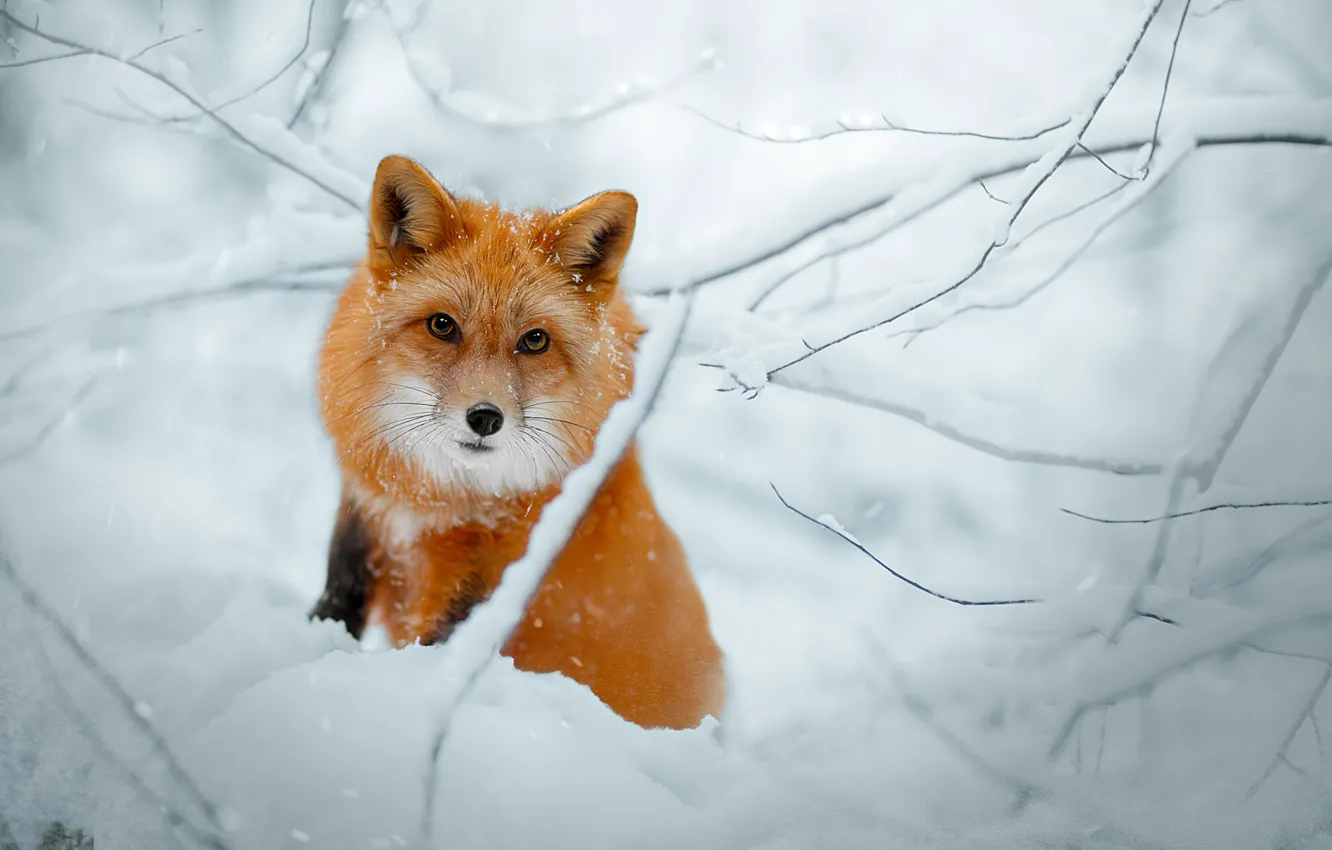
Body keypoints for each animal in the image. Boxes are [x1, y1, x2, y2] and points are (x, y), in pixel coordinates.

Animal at [308, 155, 725, 730]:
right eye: (442, 326)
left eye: (535, 340)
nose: (485, 418)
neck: (440, 494)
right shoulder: (365, 507)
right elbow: (340, 588)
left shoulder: (496, 561)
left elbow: (442, 642)